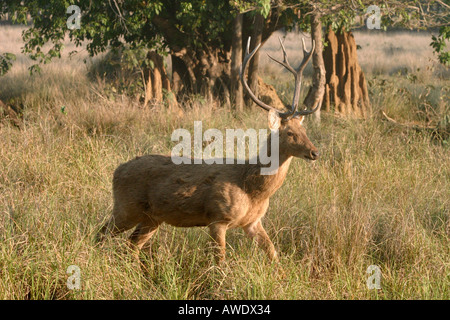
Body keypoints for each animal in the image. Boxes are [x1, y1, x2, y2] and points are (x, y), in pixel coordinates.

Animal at [96, 37, 320, 262]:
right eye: (290, 133)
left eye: (304, 129)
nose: (315, 152)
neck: (252, 190)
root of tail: (117, 171)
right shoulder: (218, 217)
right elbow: (220, 260)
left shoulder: (252, 222)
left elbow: (273, 254)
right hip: (125, 207)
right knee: (101, 234)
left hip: (152, 217)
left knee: (131, 245)